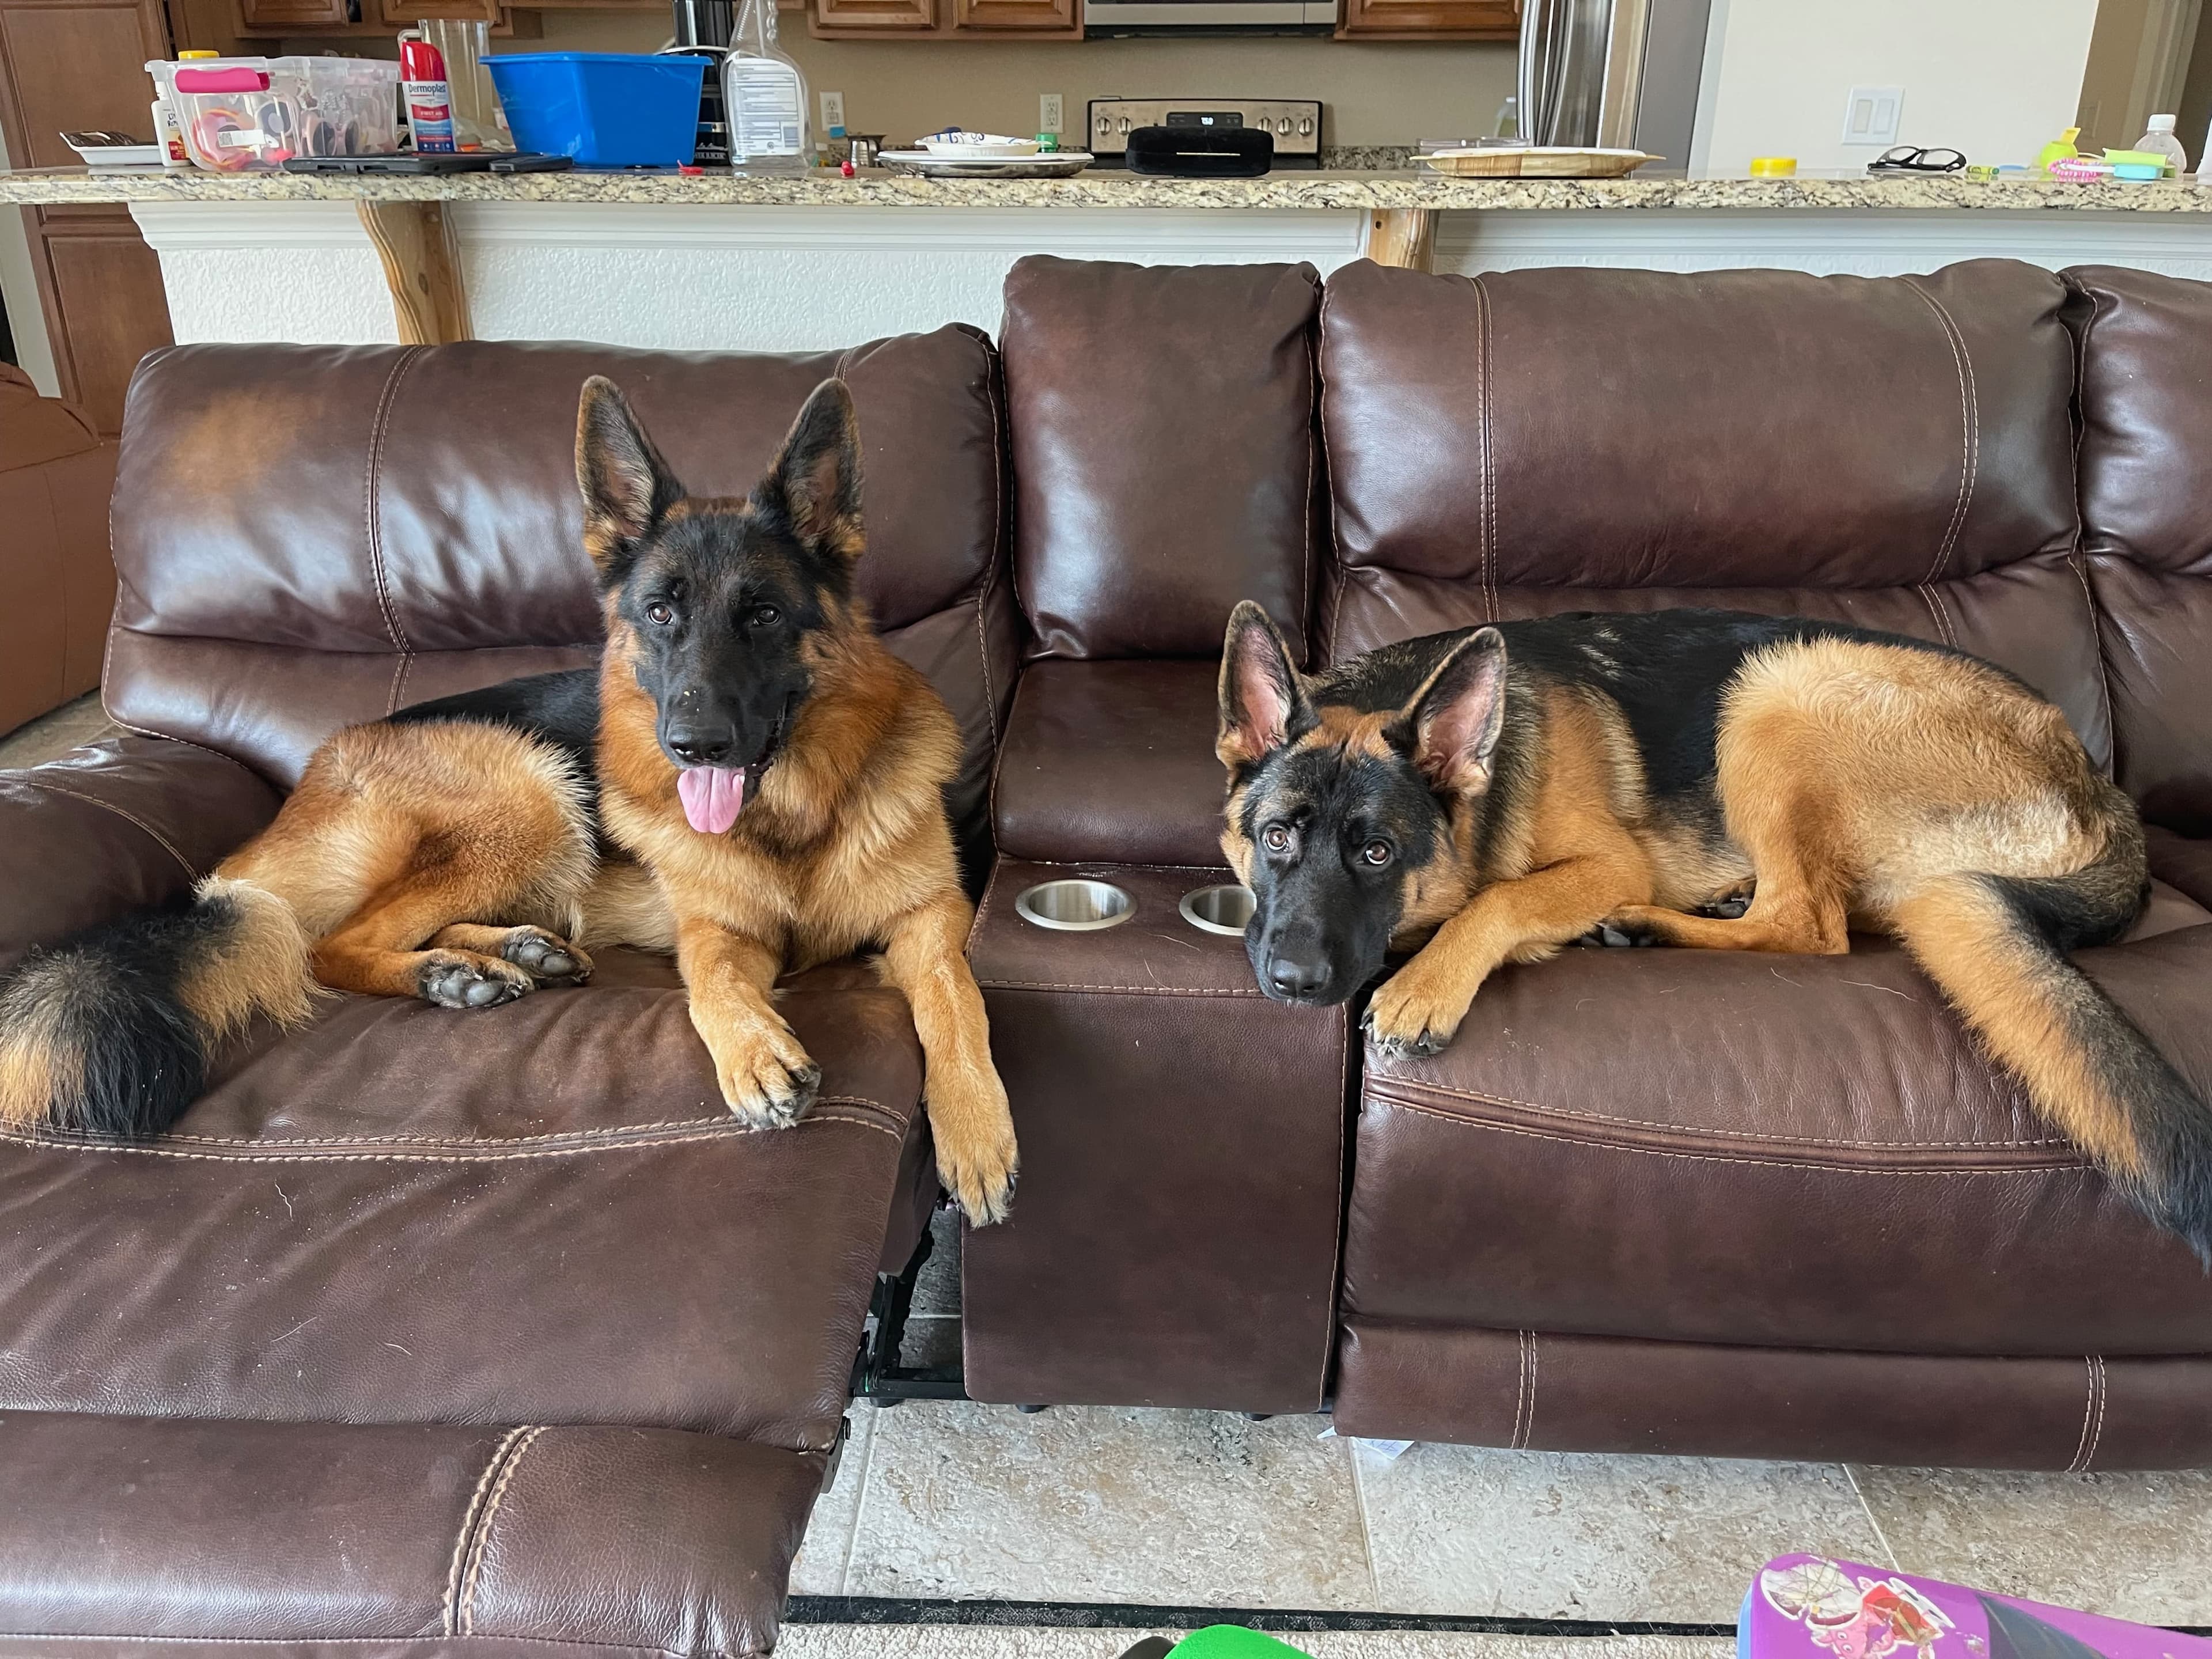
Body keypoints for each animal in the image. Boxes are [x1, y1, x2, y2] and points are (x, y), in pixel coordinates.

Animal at [0, 382, 1017, 1230]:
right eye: (660, 613)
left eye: (763, 615)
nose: (693, 745)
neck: (793, 819)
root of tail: (307, 784)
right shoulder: (719, 933)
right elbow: (713, 985)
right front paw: (753, 1052)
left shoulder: (932, 916)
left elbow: (956, 1001)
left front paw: (974, 1130)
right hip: (530, 793)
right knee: (329, 944)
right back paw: (449, 975)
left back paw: (506, 955)